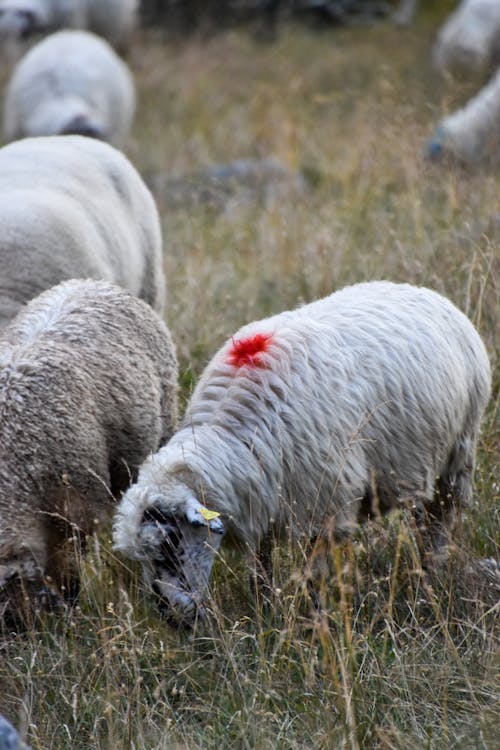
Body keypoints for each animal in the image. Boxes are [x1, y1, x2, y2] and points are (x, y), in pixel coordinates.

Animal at [111, 280, 490, 624]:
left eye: (171, 544)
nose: (170, 617)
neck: (232, 435)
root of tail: (421, 290)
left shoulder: (325, 506)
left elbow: (313, 577)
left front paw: (313, 622)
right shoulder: (264, 497)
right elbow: (260, 568)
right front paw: (264, 609)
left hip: (458, 455)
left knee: (441, 519)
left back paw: (431, 573)